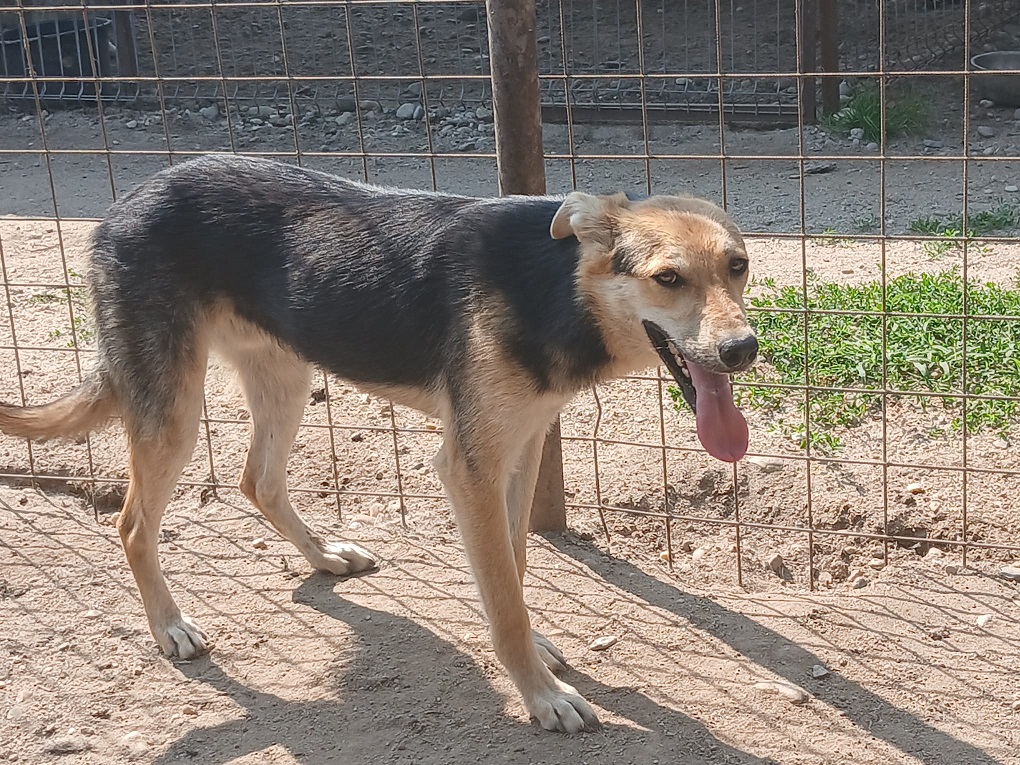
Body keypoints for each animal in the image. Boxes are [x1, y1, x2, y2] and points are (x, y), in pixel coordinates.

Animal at [0, 155, 757, 733]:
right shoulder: (469, 467)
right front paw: (540, 692)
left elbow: (512, 570)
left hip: (285, 375)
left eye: (739, 267)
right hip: (175, 412)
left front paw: (538, 648)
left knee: (257, 480)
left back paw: (323, 556)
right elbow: (503, 598)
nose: (743, 349)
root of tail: (124, 202)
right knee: (133, 523)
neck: (557, 291)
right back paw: (171, 626)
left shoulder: (519, 448)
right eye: (667, 278)